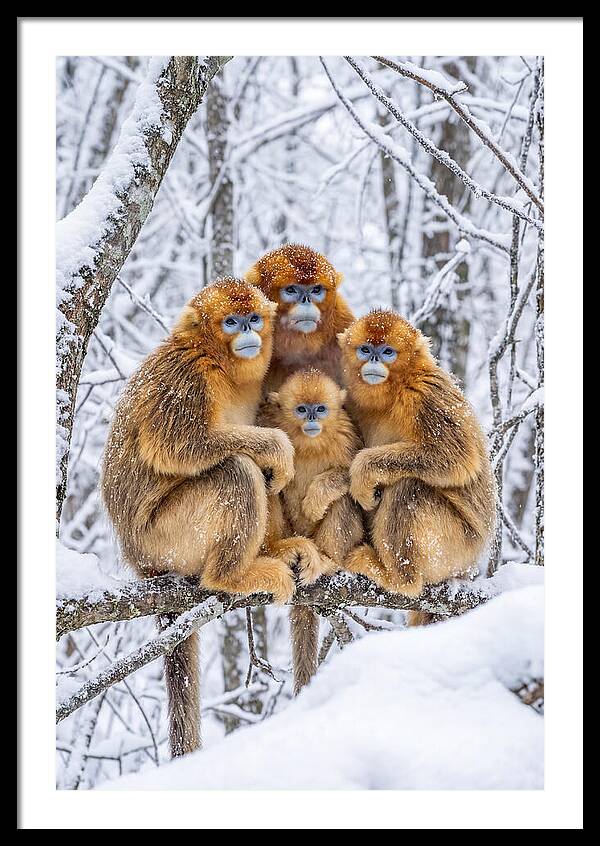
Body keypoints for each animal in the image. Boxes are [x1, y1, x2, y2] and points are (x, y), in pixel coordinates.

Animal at [101, 278, 319, 758]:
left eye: (253, 318)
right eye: (232, 322)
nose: (249, 332)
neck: (219, 362)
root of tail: (139, 560)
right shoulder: (185, 376)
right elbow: (179, 446)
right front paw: (276, 445)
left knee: (259, 476)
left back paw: (277, 550)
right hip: (165, 538)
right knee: (236, 469)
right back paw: (232, 575)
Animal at [263, 368, 364, 693]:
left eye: (320, 408)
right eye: (300, 409)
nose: (311, 419)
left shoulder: (347, 435)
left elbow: (355, 477)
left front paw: (317, 498)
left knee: (344, 499)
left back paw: (327, 561)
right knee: (268, 483)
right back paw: (279, 550)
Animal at [337, 310, 496, 626]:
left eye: (387, 352)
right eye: (365, 349)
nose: (375, 359)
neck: (395, 390)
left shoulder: (425, 394)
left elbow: (457, 458)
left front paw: (363, 471)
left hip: (456, 548)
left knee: (409, 488)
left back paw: (399, 579)